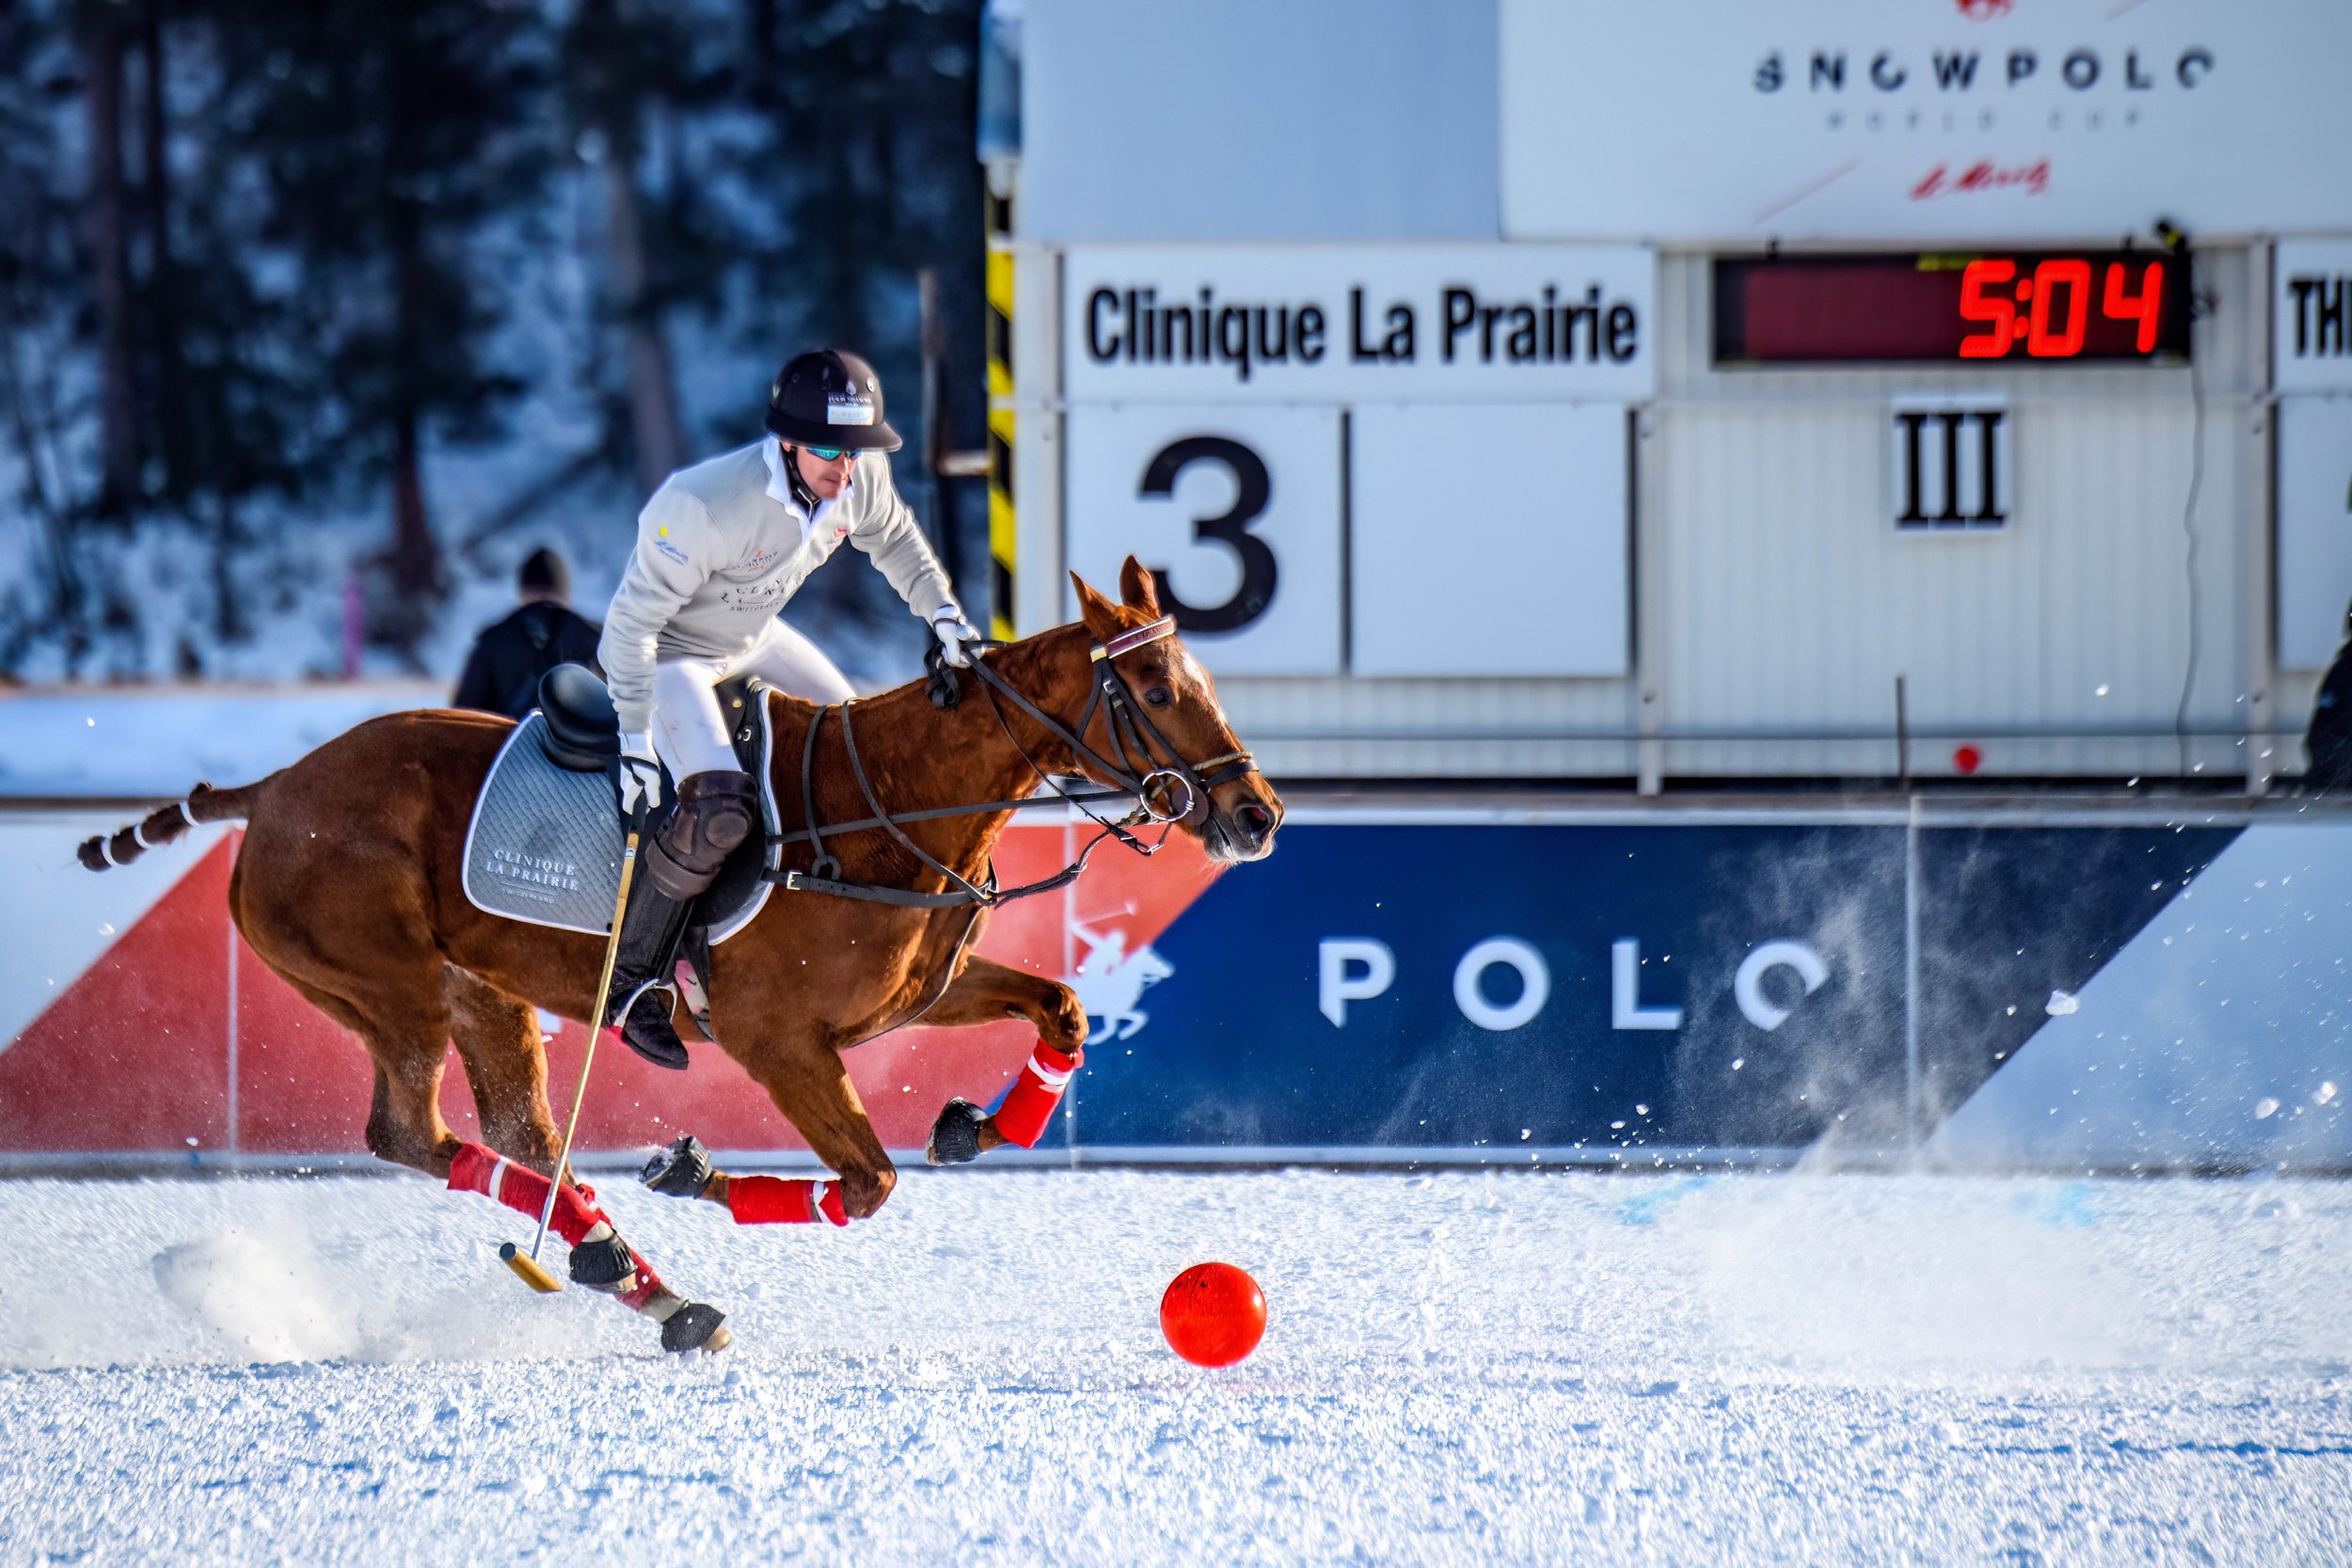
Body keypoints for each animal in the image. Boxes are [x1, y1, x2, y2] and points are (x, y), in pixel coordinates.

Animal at [76, 559, 1283, 1351]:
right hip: (385, 983)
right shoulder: (776, 1038)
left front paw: (975, 1124)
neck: (887, 805)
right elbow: (869, 1179)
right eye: (1158, 689)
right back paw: (621, 1263)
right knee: (408, 1131)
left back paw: (633, 1275)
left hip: (480, 991)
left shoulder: (911, 997)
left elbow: (1063, 1010)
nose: (1257, 814)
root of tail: (274, 786)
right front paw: (690, 1166)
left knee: (515, 1131)